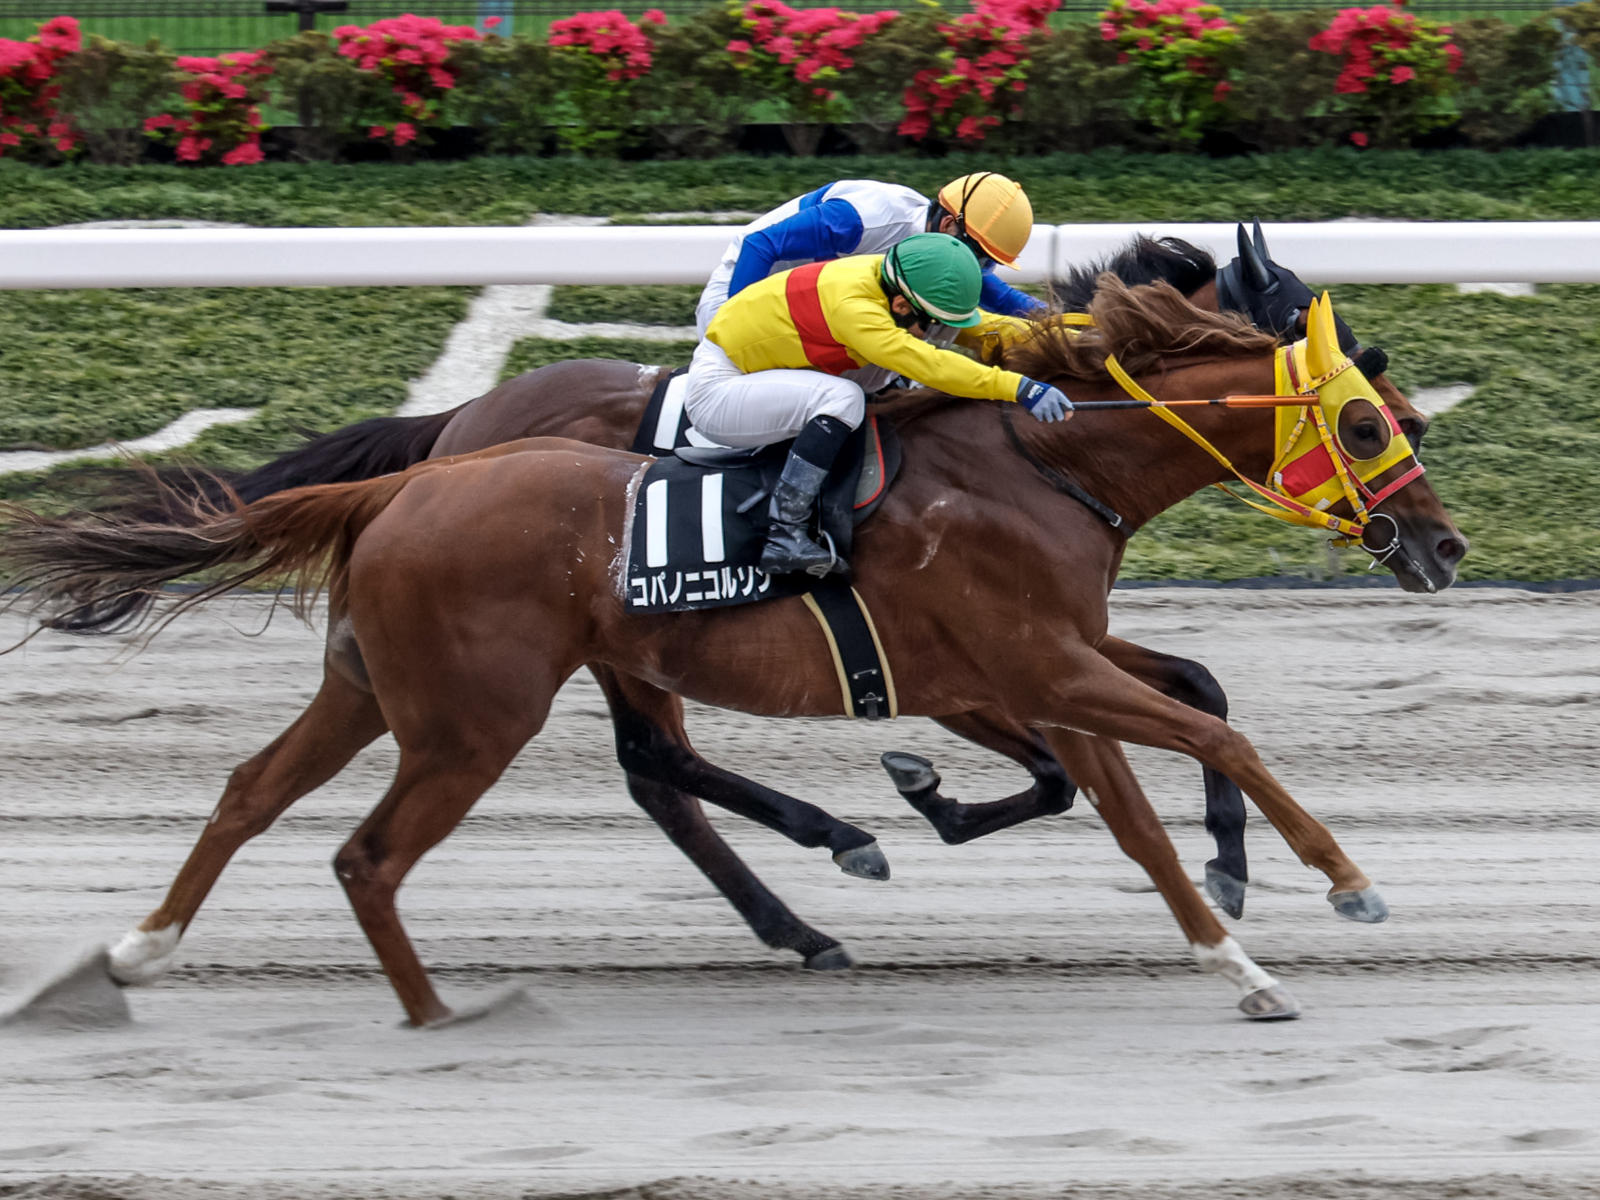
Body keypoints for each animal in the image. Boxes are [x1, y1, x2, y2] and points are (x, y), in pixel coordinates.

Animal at [0, 282, 1468, 1026]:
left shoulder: (1032, 675)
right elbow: (1201, 737)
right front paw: (1338, 888)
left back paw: (137, 956)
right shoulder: (1040, 670)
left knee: (253, 789)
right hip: (478, 715)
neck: (1039, 463)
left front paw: (1233, 930)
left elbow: (1140, 782)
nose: (1442, 547)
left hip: (380, 687)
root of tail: (412, 474)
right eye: (1370, 424)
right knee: (430, 835)